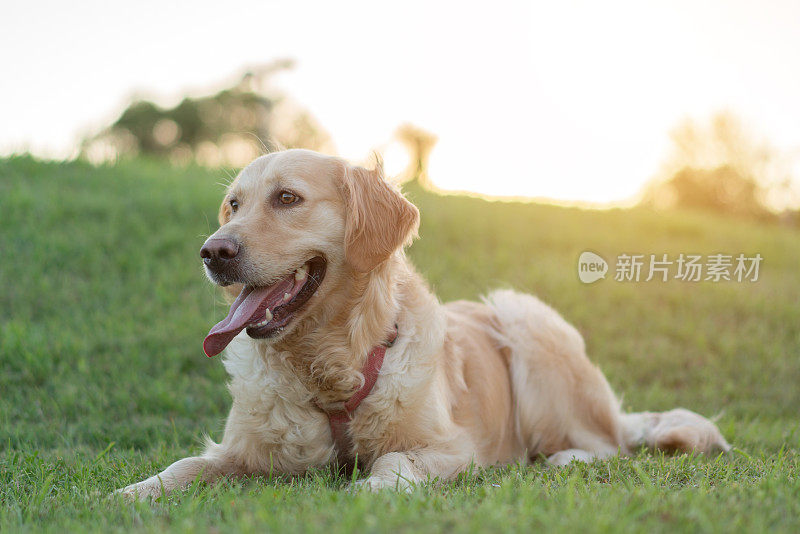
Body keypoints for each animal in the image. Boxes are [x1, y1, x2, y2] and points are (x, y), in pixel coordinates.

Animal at [117, 149, 724, 500]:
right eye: (233, 205)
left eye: (287, 198)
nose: (212, 252)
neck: (329, 364)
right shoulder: (241, 451)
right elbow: (184, 466)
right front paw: (134, 493)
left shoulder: (453, 449)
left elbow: (393, 460)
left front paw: (373, 490)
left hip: (524, 319)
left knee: (605, 444)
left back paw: (562, 459)